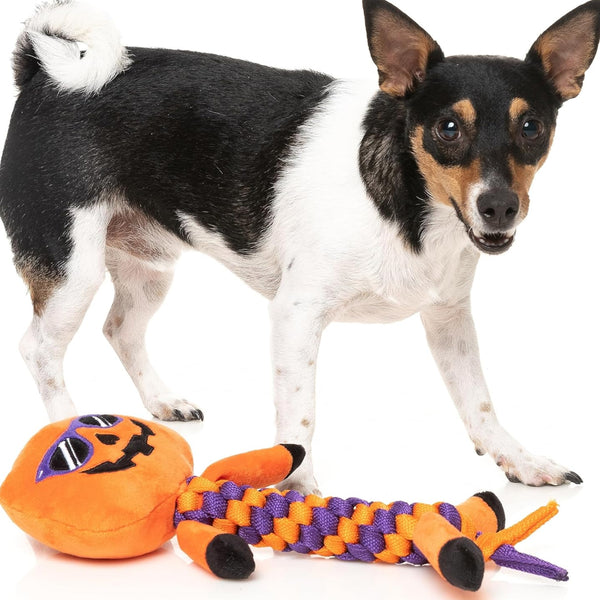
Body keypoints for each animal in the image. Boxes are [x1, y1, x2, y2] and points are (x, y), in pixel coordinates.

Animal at [1, 1, 600, 492]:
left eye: (532, 127)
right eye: (448, 128)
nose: (498, 206)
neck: (410, 204)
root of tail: (44, 72)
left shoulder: (449, 320)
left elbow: (478, 401)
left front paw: (520, 460)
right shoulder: (296, 316)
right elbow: (300, 417)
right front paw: (298, 488)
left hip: (150, 269)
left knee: (120, 329)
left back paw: (161, 401)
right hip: (71, 269)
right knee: (40, 351)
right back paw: (66, 434)